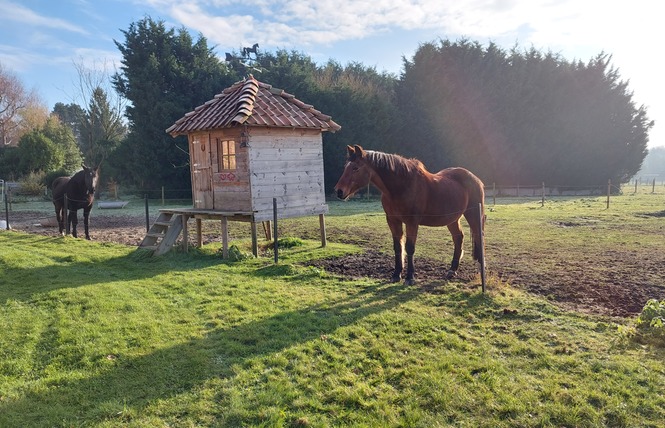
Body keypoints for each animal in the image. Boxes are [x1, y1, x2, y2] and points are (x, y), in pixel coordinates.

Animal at [334, 145, 486, 286]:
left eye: (355, 168)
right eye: (346, 167)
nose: (339, 191)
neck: (401, 187)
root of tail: (475, 179)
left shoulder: (412, 222)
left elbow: (409, 248)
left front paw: (410, 278)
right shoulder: (393, 221)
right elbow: (398, 247)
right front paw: (396, 275)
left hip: (473, 214)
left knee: (479, 237)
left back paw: (481, 268)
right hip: (452, 219)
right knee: (458, 238)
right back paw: (452, 270)